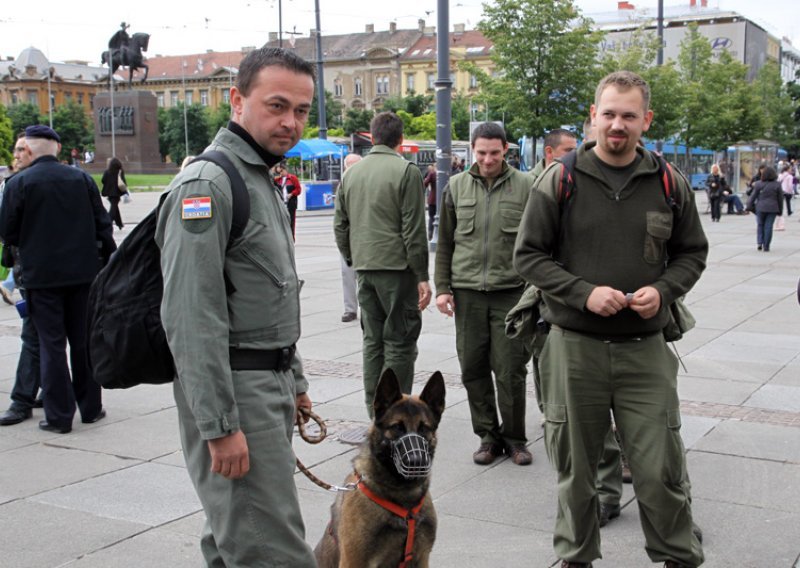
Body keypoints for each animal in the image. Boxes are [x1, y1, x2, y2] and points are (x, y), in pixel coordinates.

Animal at [316, 368, 446, 568]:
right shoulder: (354, 561)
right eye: (397, 427)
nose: (416, 461)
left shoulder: (421, 558)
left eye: (424, 428)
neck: (403, 498)